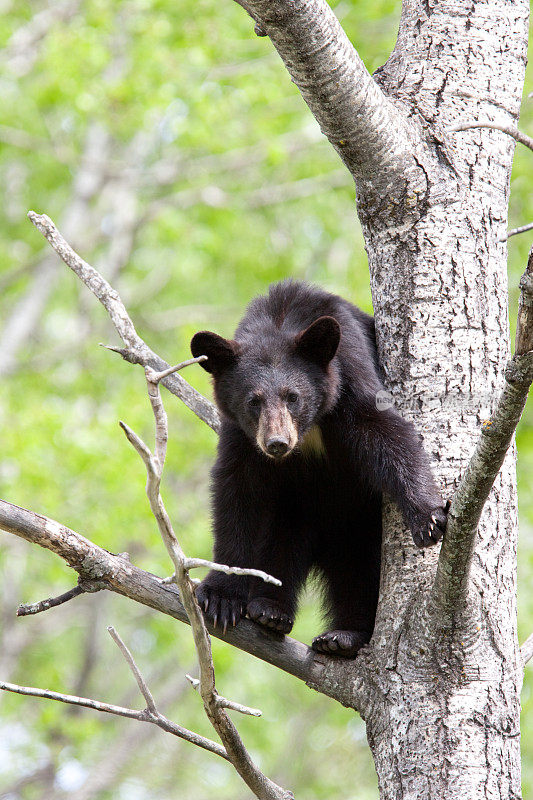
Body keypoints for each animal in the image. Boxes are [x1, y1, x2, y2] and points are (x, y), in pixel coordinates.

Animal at [190, 282, 444, 656]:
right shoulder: (241, 435)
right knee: (282, 545)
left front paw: (428, 517)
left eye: (292, 396)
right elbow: (237, 493)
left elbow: (385, 432)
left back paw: (344, 636)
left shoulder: (350, 372)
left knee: (361, 567)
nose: (277, 443)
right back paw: (270, 610)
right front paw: (221, 596)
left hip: (359, 522)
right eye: (254, 401)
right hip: (299, 513)